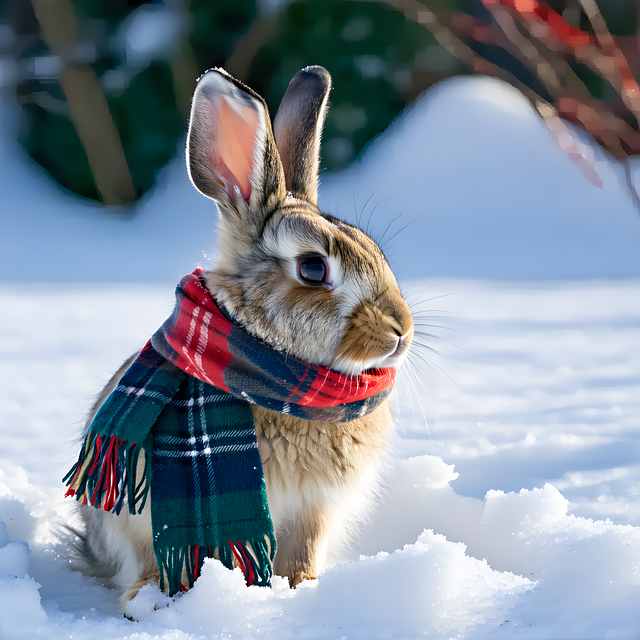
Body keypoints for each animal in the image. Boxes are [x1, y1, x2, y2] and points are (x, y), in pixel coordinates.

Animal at [70, 65, 414, 612]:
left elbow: (303, 552)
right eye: (313, 268)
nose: (401, 331)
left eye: (375, 251)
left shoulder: (315, 511)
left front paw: (303, 590)